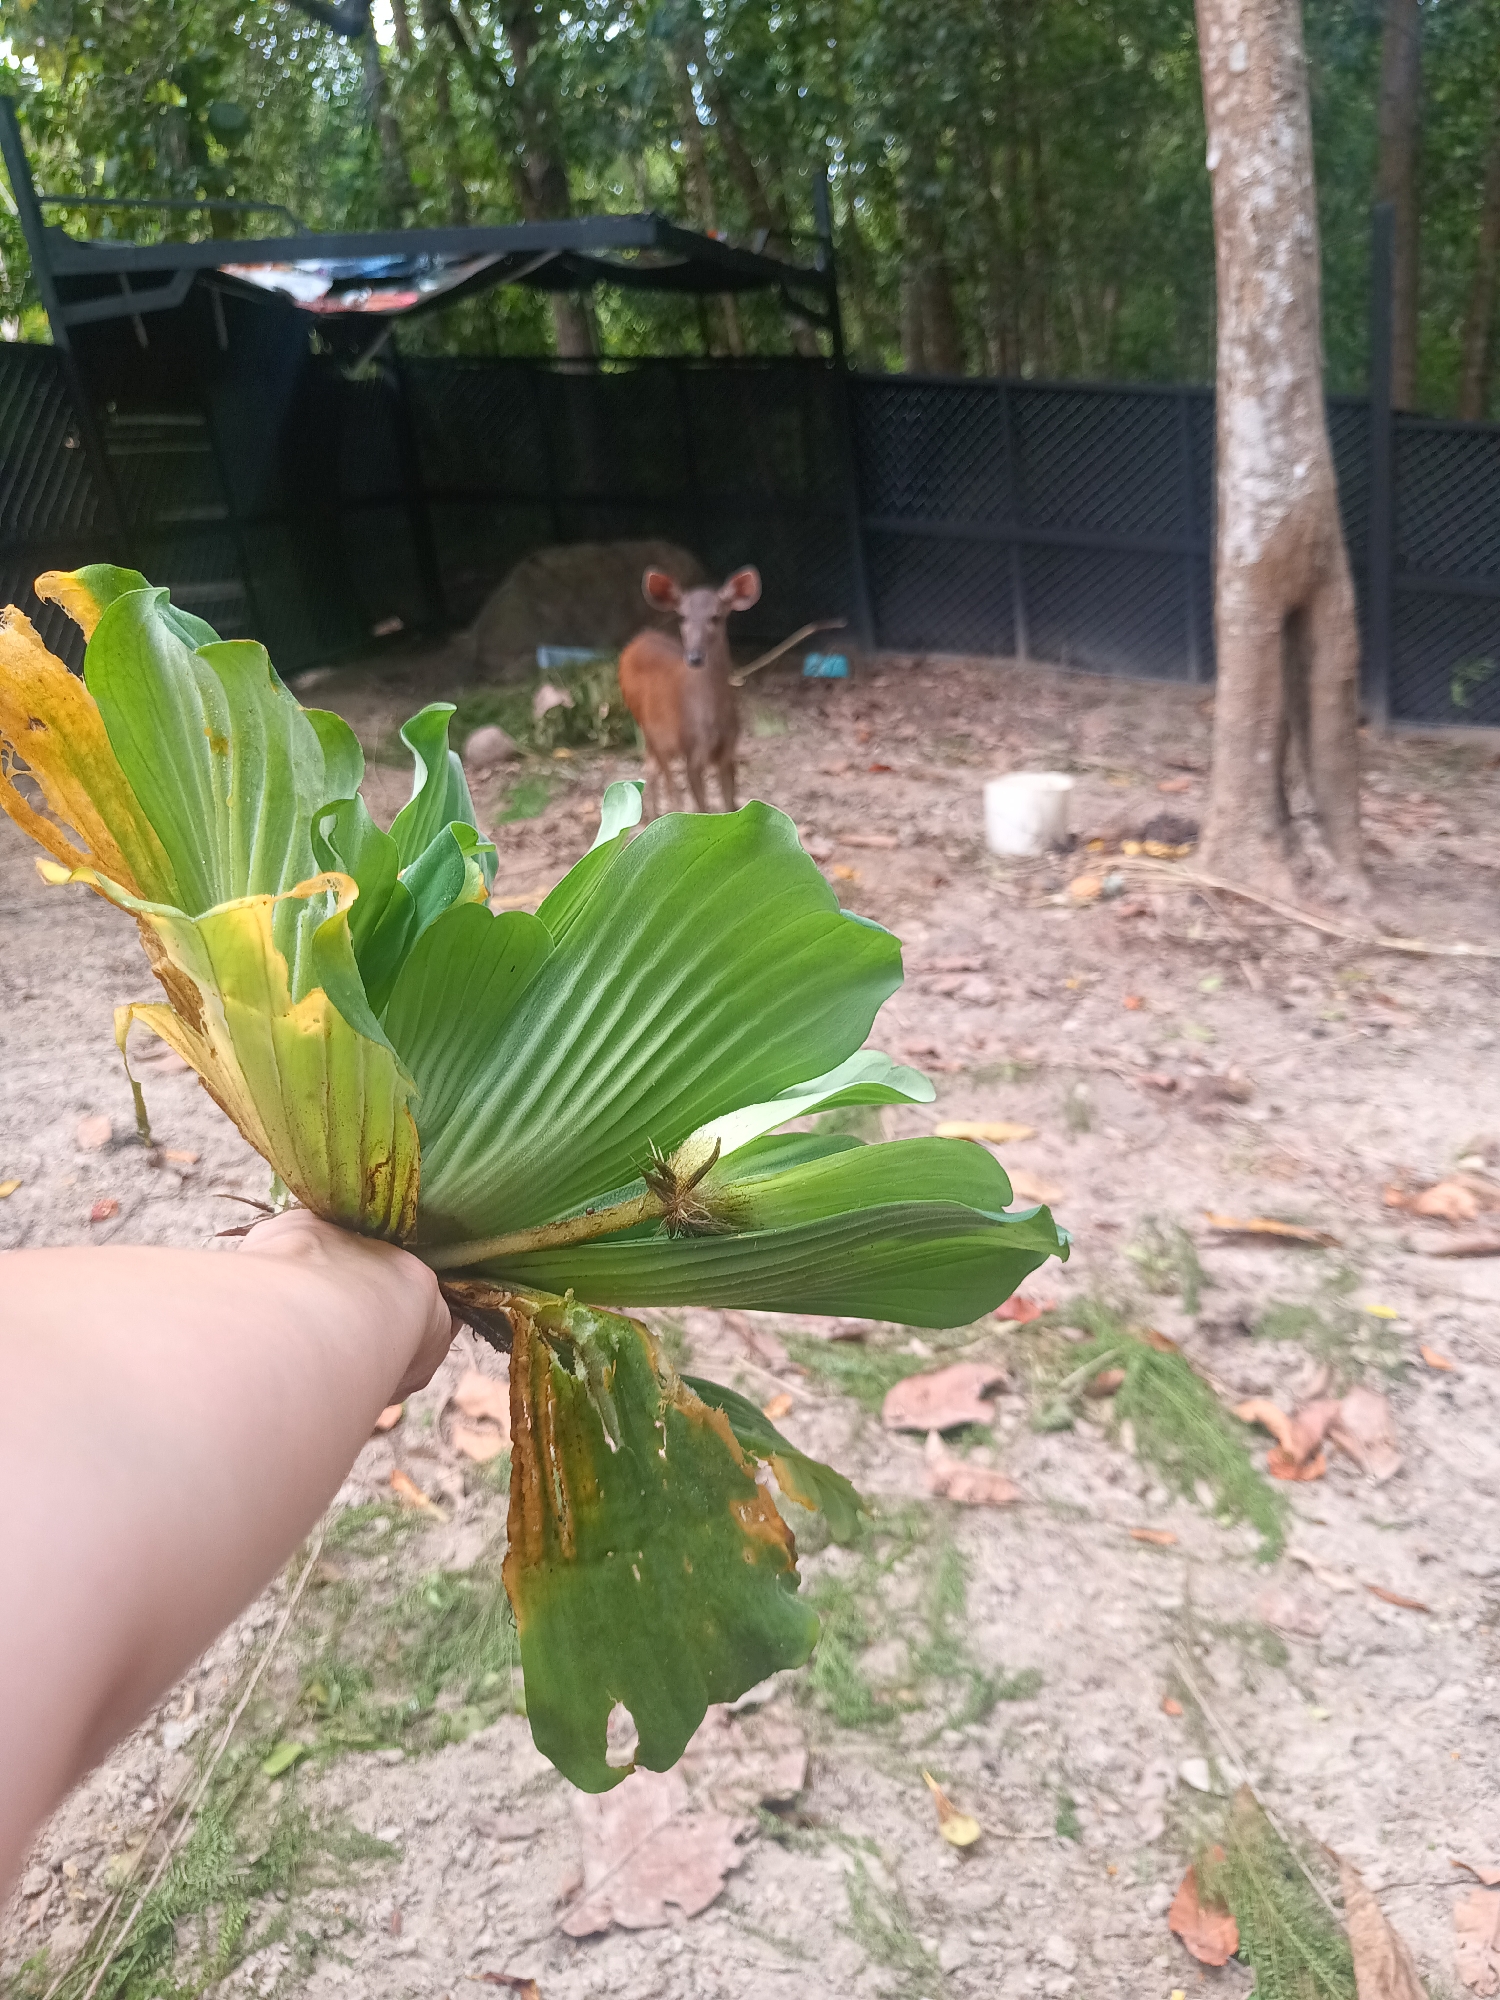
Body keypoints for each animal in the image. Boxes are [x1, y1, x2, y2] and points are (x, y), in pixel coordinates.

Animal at [617, 565, 761, 818]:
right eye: (682, 616)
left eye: (716, 616)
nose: (694, 657)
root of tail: (636, 641)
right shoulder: (692, 751)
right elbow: (702, 810)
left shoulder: (728, 750)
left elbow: (730, 805)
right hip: (646, 723)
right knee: (663, 774)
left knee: (651, 766)